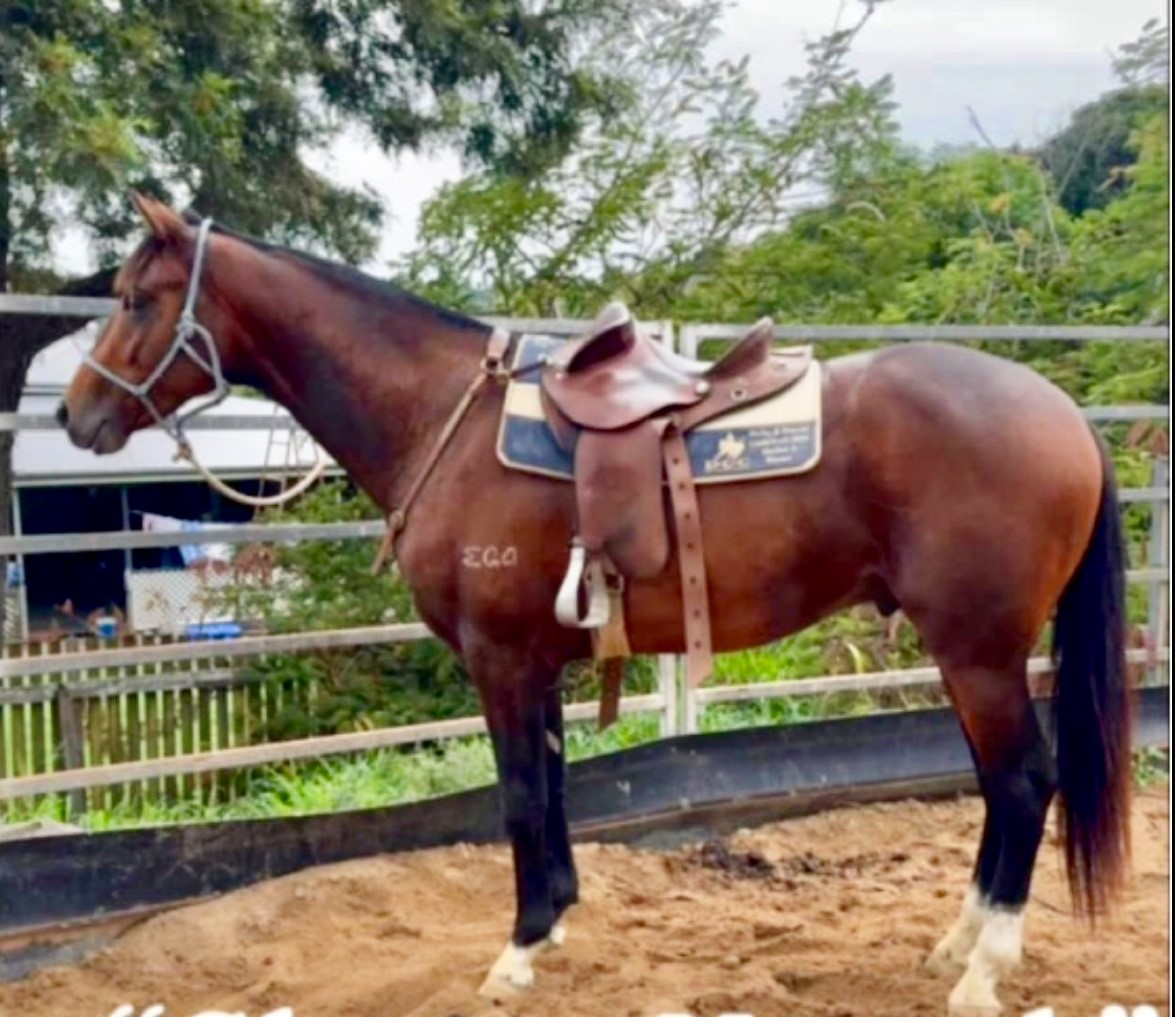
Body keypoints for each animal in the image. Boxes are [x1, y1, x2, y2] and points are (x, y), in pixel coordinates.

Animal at [59, 194, 1132, 1016]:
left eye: (137, 298)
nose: (76, 414)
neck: (443, 417)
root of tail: (1061, 412)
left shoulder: (496, 658)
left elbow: (520, 796)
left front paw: (517, 950)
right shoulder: (536, 660)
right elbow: (554, 786)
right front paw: (555, 923)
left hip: (977, 650)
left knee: (1022, 782)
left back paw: (982, 969)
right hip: (968, 654)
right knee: (997, 785)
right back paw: (956, 943)